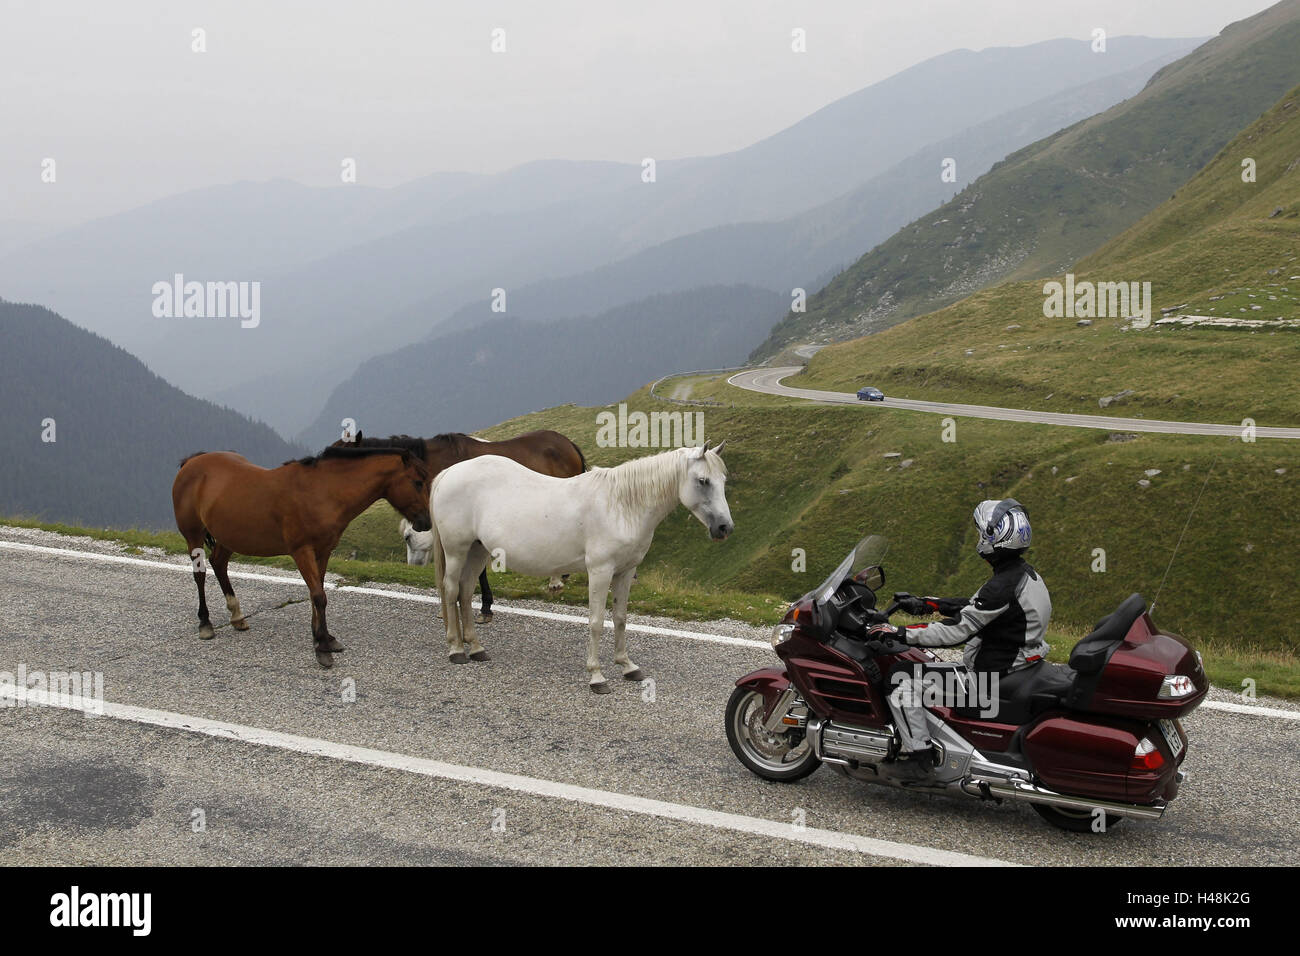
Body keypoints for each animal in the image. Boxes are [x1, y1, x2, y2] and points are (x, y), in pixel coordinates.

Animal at [172, 439, 431, 665]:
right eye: (418, 482)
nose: (426, 522)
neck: (321, 492)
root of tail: (191, 462)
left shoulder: (323, 552)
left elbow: (317, 592)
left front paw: (323, 637)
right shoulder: (302, 551)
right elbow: (318, 595)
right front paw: (322, 647)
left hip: (229, 537)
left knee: (219, 563)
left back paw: (237, 616)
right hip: (193, 535)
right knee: (200, 574)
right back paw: (205, 623)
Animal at [431, 442, 728, 697]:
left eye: (724, 480)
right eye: (703, 480)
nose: (725, 528)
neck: (622, 506)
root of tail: (449, 473)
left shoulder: (624, 572)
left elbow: (620, 618)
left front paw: (627, 666)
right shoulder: (600, 571)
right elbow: (596, 622)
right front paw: (597, 676)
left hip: (478, 550)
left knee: (466, 592)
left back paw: (476, 648)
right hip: (457, 551)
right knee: (451, 590)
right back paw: (456, 649)